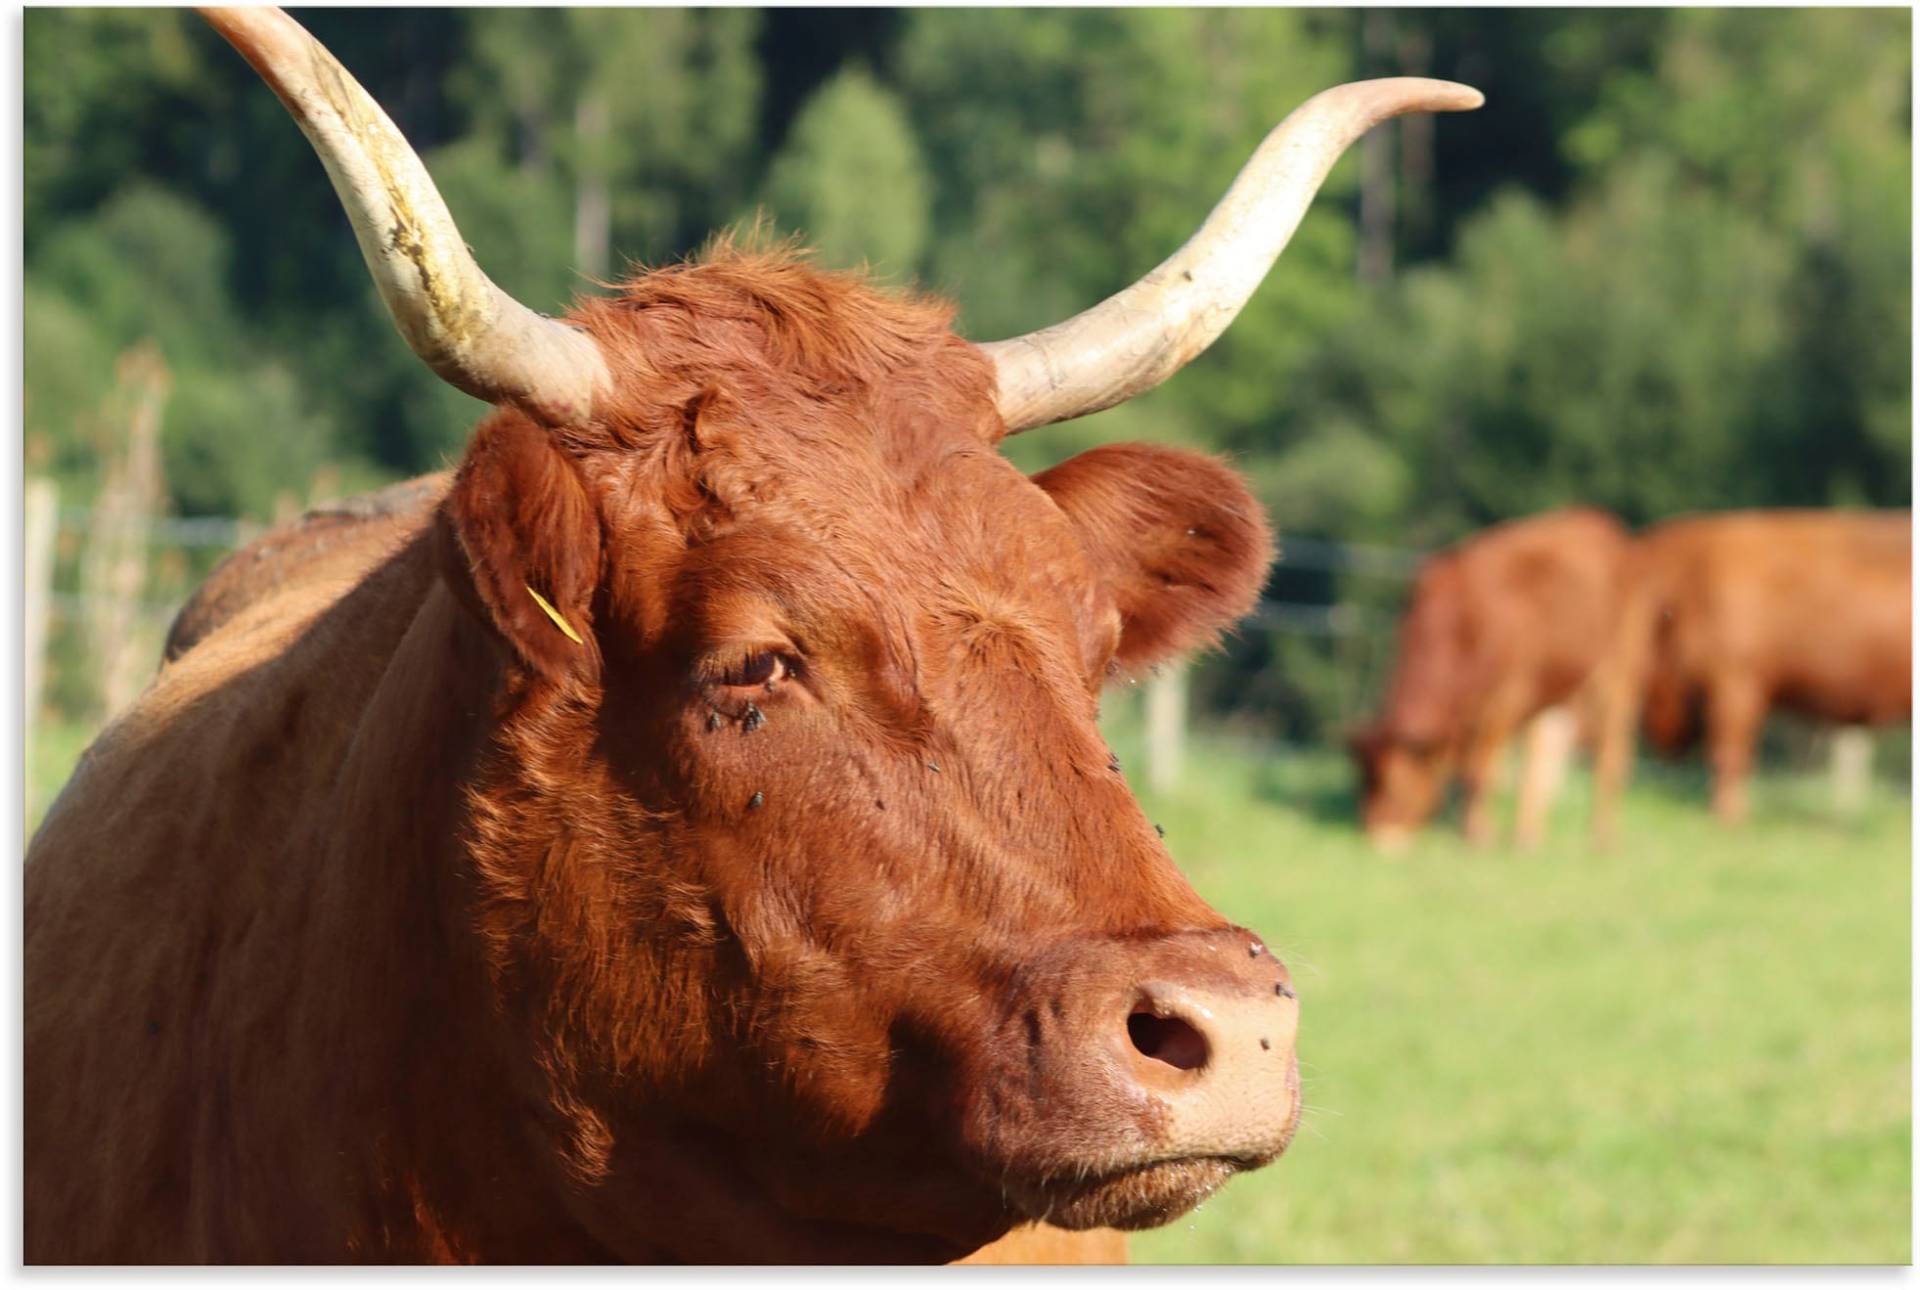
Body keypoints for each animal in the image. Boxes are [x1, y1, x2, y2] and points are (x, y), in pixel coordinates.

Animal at [1344, 510, 1628, 852]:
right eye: (1362, 784)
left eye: (1397, 788)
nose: (1378, 836)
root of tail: (1592, 516)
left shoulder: (1504, 701)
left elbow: (1479, 773)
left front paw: (1477, 835)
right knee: (1541, 759)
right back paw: (1527, 837)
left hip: (1614, 670)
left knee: (1607, 756)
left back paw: (1603, 838)